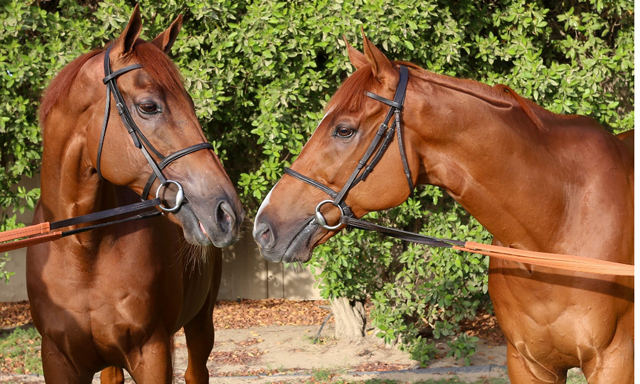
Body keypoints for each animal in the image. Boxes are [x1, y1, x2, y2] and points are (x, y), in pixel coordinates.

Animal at [26, 6, 244, 384]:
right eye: (148, 107)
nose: (226, 212)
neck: (83, 250)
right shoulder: (57, 360)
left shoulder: (151, 353)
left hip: (201, 322)